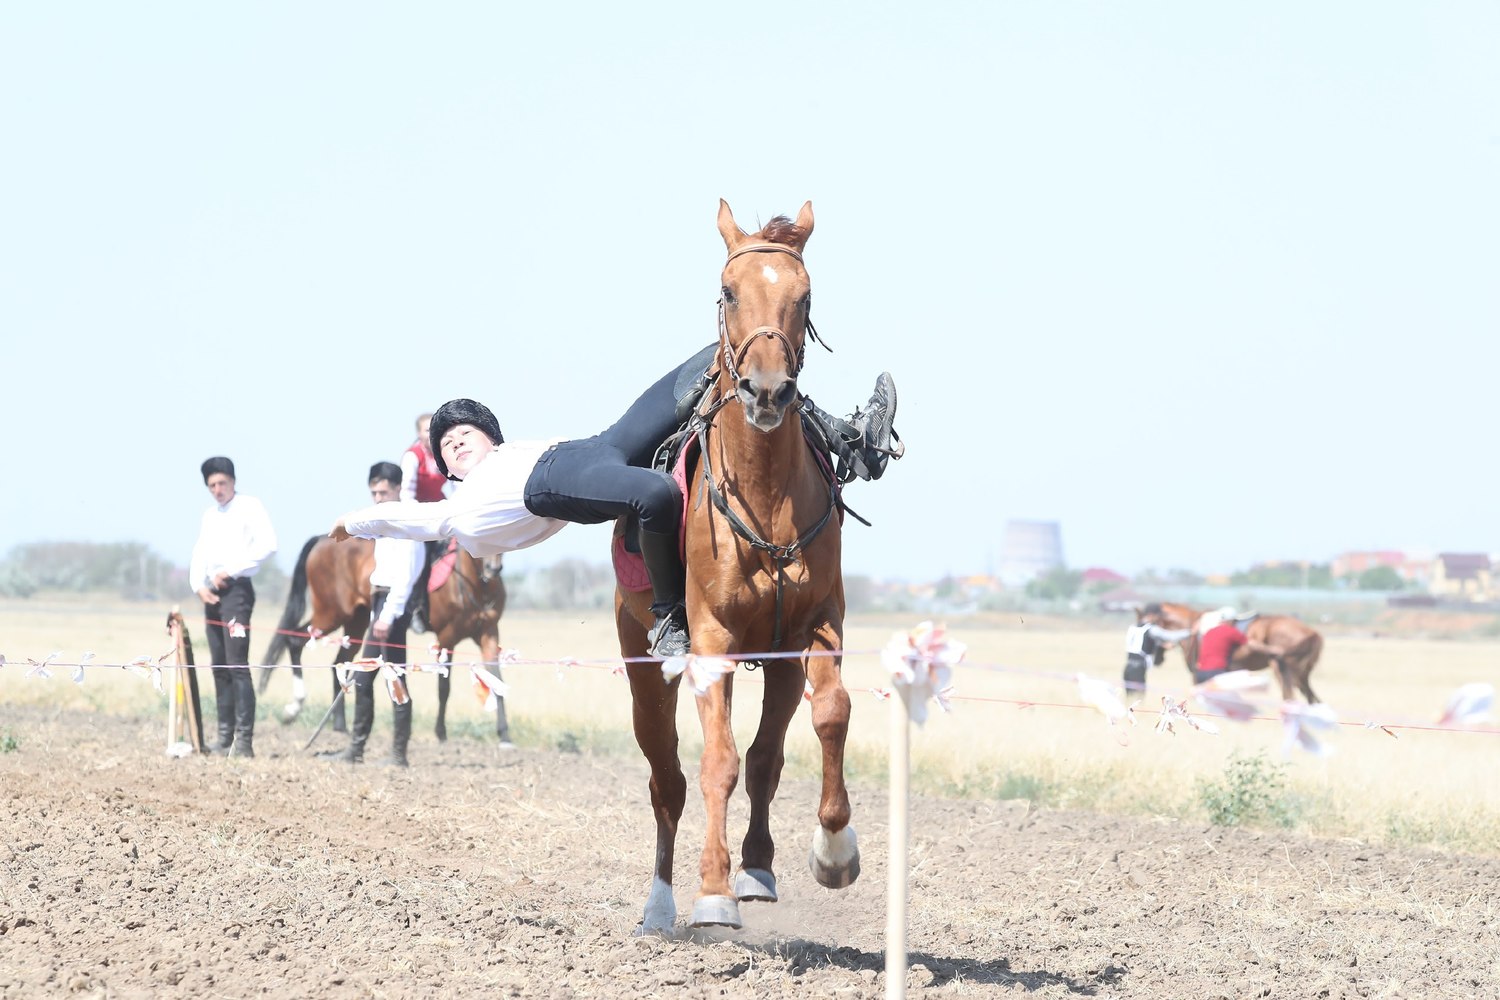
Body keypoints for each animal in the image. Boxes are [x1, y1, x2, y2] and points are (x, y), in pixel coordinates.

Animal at [261, 536, 513, 740]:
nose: (493, 568)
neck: (475, 585)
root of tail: (323, 540)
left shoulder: (490, 634)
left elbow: (498, 680)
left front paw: (504, 735)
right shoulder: (447, 637)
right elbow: (444, 687)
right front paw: (441, 733)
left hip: (356, 621)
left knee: (337, 663)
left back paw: (340, 726)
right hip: (331, 614)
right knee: (294, 641)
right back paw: (294, 707)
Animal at [618, 199, 864, 935]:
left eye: (804, 297)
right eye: (728, 291)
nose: (767, 391)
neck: (766, 494)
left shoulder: (814, 628)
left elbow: (827, 717)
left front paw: (833, 851)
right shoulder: (712, 641)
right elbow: (717, 764)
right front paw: (712, 892)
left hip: (778, 662)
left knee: (765, 759)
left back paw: (757, 867)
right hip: (643, 670)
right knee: (668, 782)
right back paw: (660, 905)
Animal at [1146, 602, 1326, 704]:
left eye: (1146, 622)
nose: (1156, 659)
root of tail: (1312, 632)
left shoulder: (1199, 674)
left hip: (1286, 672)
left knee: (1293, 698)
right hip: (1300, 675)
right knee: (1311, 699)